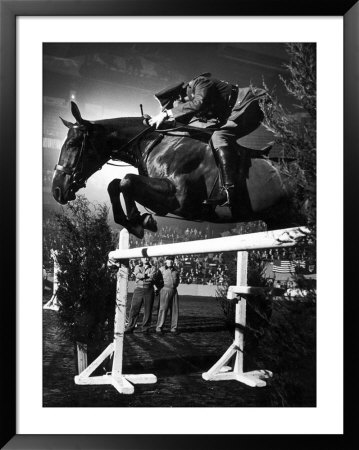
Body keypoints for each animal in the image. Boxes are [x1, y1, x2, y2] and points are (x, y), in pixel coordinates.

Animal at [52, 100, 308, 237]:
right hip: (280, 219)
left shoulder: (178, 199)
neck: (155, 142)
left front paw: (139, 220)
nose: (56, 190)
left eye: (73, 144)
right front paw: (133, 222)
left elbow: (126, 180)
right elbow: (115, 184)